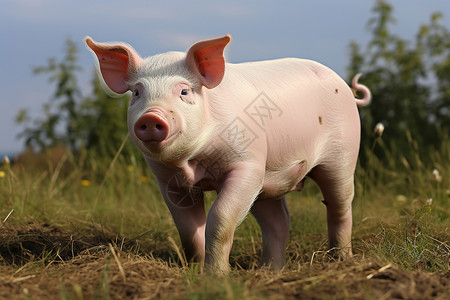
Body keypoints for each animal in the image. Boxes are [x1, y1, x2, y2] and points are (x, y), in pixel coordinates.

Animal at [85, 35, 372, 272]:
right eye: (136, 92)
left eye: (184, 91)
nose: (151, 117)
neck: (193, 164)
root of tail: (346, 88)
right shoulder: (168, 182)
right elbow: (187, 230)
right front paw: (195, 271)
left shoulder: (248, 164)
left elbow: (220, 218)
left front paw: (217, 275)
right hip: (266, 185)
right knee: (279, 222)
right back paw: (268, 271)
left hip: (342, 155)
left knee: (339, 206)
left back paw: (341, 260)